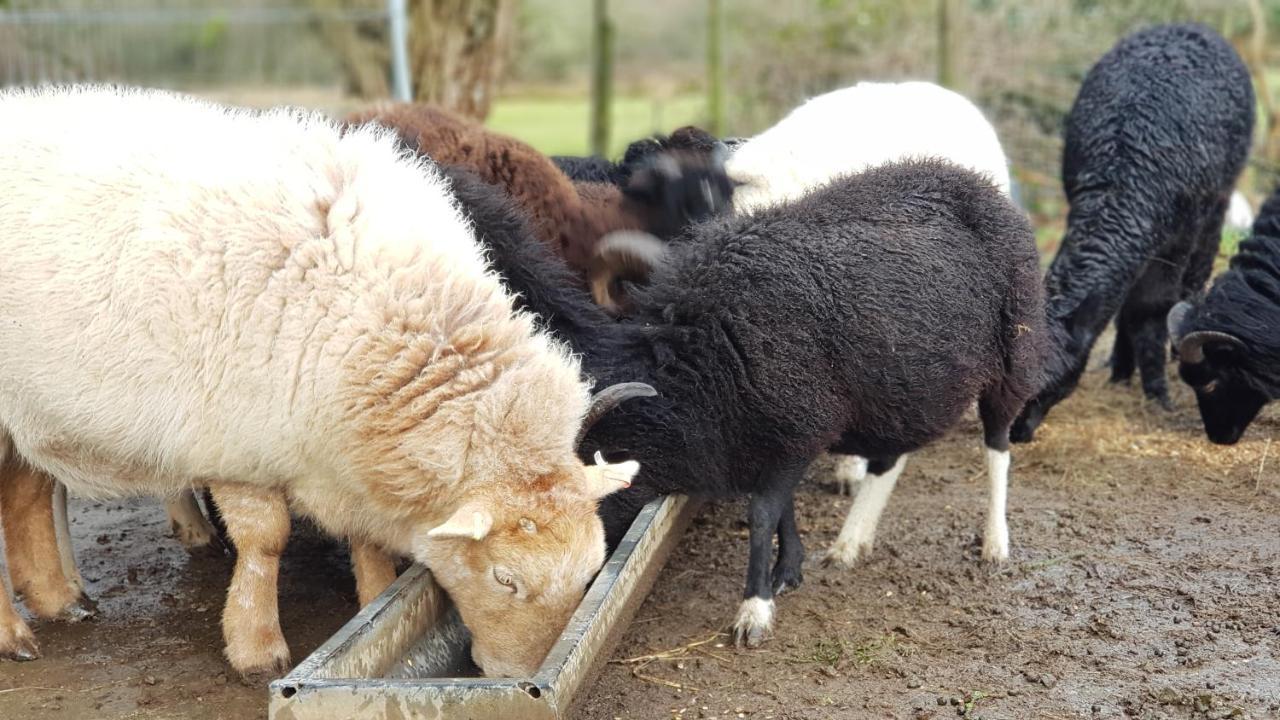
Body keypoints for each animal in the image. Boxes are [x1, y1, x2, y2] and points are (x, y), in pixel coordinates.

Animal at [0, 87, 650, 676]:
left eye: (591, 571)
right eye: (504, 578)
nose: (518, 675)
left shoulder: (345, 450)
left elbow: (368, 539)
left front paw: (374, 599)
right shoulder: (233, 444)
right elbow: (266, 539)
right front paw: (256, 647)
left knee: (25, 495)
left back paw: (60, 601)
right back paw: (17, 633)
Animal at [437, 159, 1039, 648]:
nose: (591, 561)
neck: (706, 357)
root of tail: (979, 184)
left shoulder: (798, 426)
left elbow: (763, 512)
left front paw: (755, 608)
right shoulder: (772, 434)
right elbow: (782, 508)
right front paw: (789, 569)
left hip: (1014, 353)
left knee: (997, 445)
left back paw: (995, 542)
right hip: (903, 388)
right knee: (891, 457)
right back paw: (852, 542)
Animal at [1008, 25, 1249, 440]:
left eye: (1049, 385)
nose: (1016, 433)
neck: (1125, 177)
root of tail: (1186, 26)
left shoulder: (1176, 237)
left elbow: (1150, 308)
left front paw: (1157, 393)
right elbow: (1129, 302)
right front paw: (1124, 370)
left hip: (1215, 204)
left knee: (1199, 268)